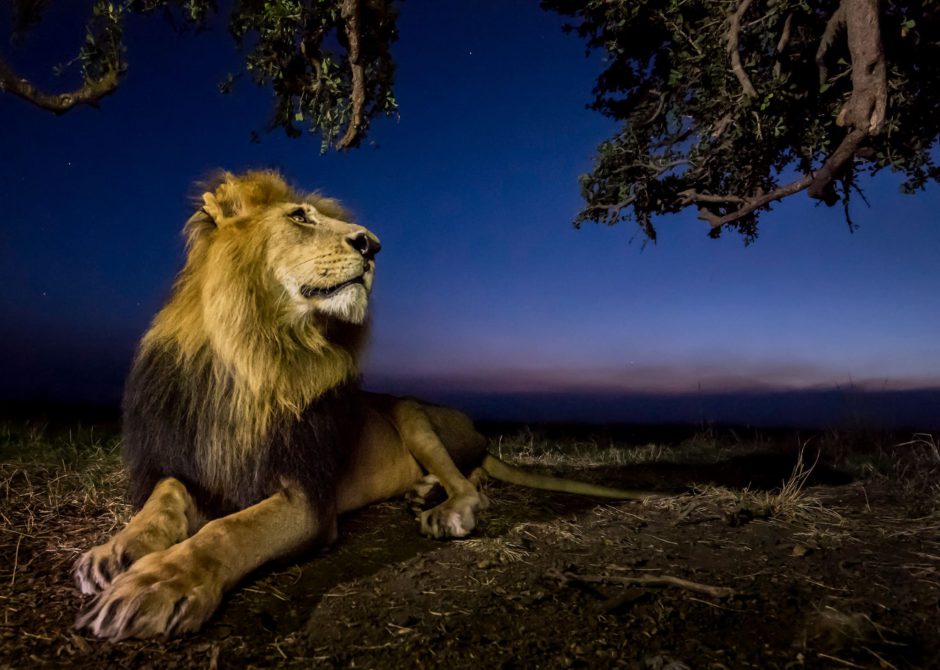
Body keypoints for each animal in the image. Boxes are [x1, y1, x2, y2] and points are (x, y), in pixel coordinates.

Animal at [73, 171, 660, 644]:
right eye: (300, 217)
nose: (372, 245)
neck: (254, 358)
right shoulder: (198, 464)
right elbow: (165, 497)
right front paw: (116, 552)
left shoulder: (308, 498)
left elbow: (227, 531)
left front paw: (156, 584)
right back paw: (423, 491)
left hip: (411, 413)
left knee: (473, 485)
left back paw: (444, 509)